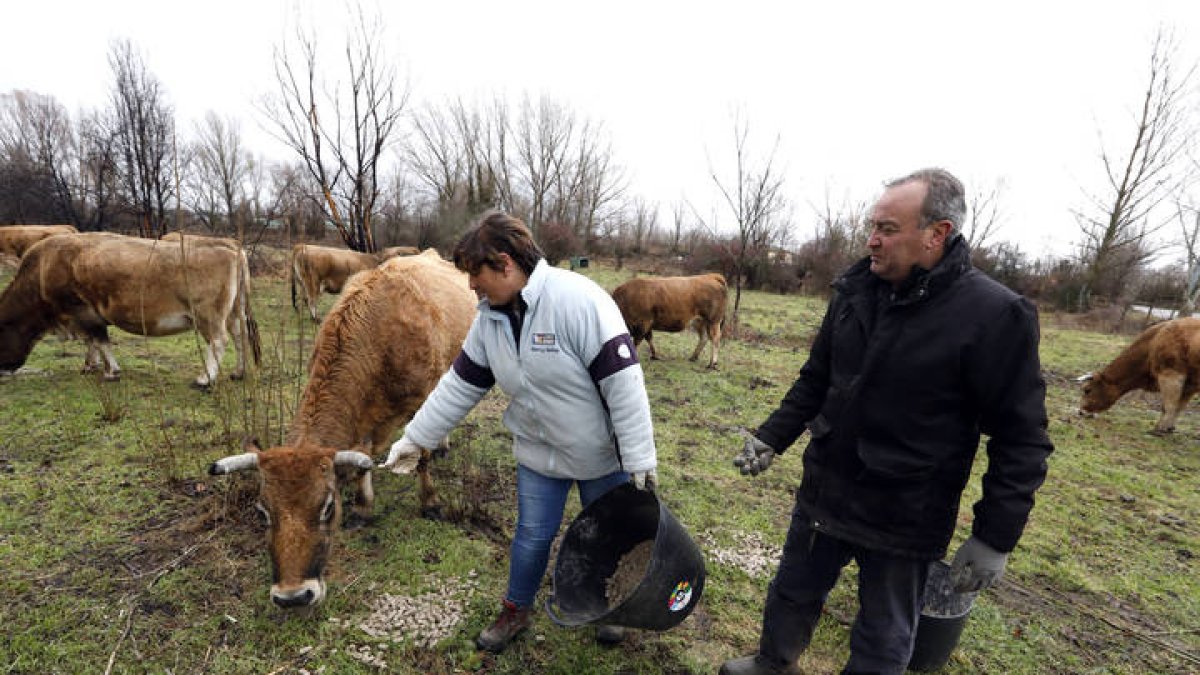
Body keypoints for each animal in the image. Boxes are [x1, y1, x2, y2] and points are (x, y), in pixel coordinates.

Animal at [0, 230, 261, 386]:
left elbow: (99, 340)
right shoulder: (83, 316)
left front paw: (110, 371)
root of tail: (229, 245)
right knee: (239, 336)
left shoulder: (82, 311)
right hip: (233, 313)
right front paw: (90, 365)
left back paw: (205, 379)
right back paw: (238, 372)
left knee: (219, 341)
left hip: (209, 316)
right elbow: (92, 342)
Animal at [206, 249, 472, 607]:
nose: (292, 596)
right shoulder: (363, 422)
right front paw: (362, 506)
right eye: (262, 512)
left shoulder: (425, 396)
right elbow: (361, 460)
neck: (381, 334)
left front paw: (430, 502)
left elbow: (423, 455)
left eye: (328, 507)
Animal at [289, 241, 417, 319]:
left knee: (304, 298)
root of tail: (302, 246)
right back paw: (316, 318)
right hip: (313, 282)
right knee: (311, 299)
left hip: (303, 282)